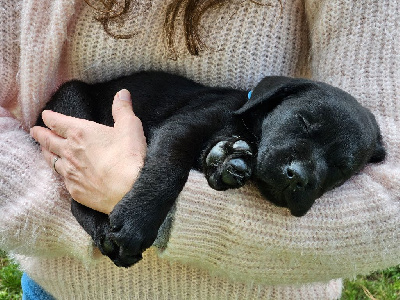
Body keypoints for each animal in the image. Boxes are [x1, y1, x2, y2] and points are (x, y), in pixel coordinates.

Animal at [37, 71, 384, 268]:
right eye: (303, 120)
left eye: (341, 168)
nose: (298, 177)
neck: (246, 125)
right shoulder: (181, 129)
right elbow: (166, 172)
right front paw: (138, 222)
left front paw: (229, 159)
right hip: (71, 100)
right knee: (75, 200)